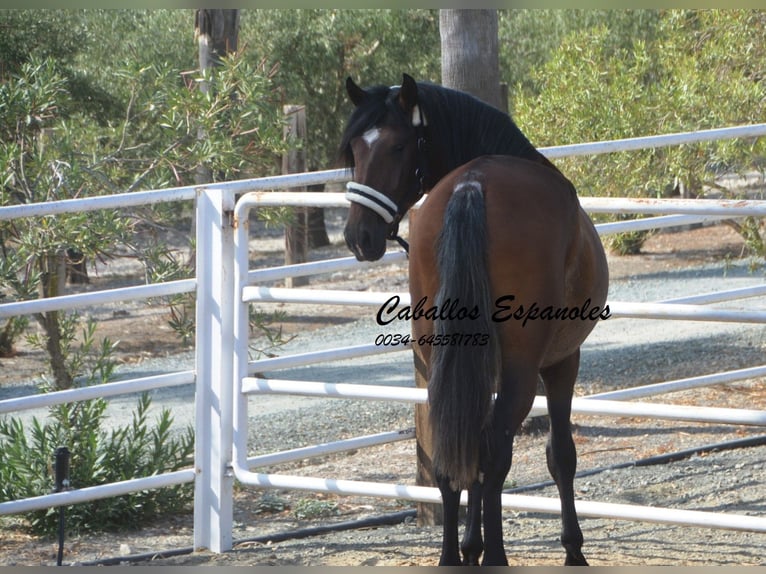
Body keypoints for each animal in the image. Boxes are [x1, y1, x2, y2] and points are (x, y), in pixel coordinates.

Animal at [342, 75, 612, 568]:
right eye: (354, 148)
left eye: (396, 146)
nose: (358, 235)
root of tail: (472, 185)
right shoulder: (562, 361)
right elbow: (560, 455)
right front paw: (572, 550)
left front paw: (471, 546)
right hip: (524, 370)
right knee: (495, 449)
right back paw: (497, 557)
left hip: (439, 356)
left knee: (453, 449)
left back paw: (453, 556)